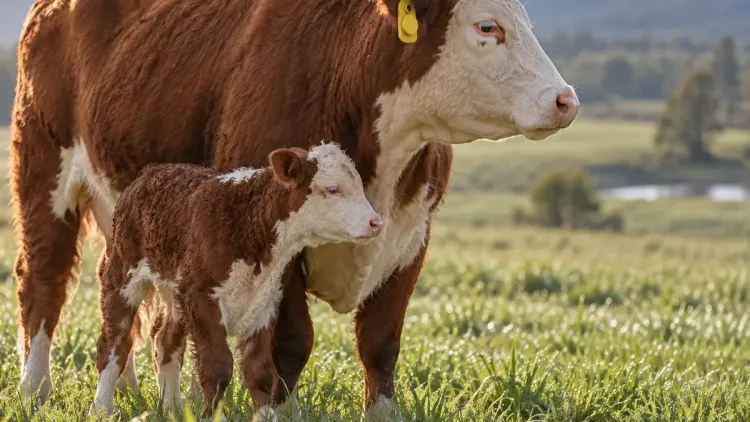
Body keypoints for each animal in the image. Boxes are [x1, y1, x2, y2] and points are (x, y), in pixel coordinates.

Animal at [11, 0, 579, 419]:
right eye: (488, 26)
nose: (565, 100)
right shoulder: (272, 244)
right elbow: (287, 347)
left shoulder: (410, 237)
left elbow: (380, 343)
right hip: (43, 171)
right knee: (43, 282)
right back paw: (35, 393)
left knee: (137, 320)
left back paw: (133, 398)